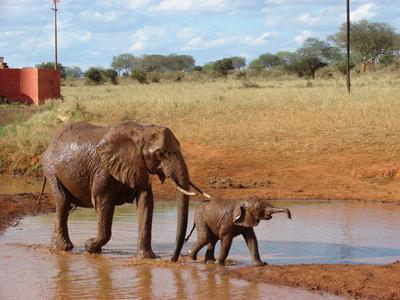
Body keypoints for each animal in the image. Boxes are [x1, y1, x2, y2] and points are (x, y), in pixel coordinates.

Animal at [39, 120, 209, 262]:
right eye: (160, 154)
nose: (173, 259)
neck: (142, 130)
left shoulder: (138, 166)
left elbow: (146, 202)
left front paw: (147, 258)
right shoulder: (103, 169)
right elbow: (103, 201)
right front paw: (88, 245)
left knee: (64, 207)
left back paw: (58, 247)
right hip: (51, 167)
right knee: (63, 202)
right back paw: (65, 248)